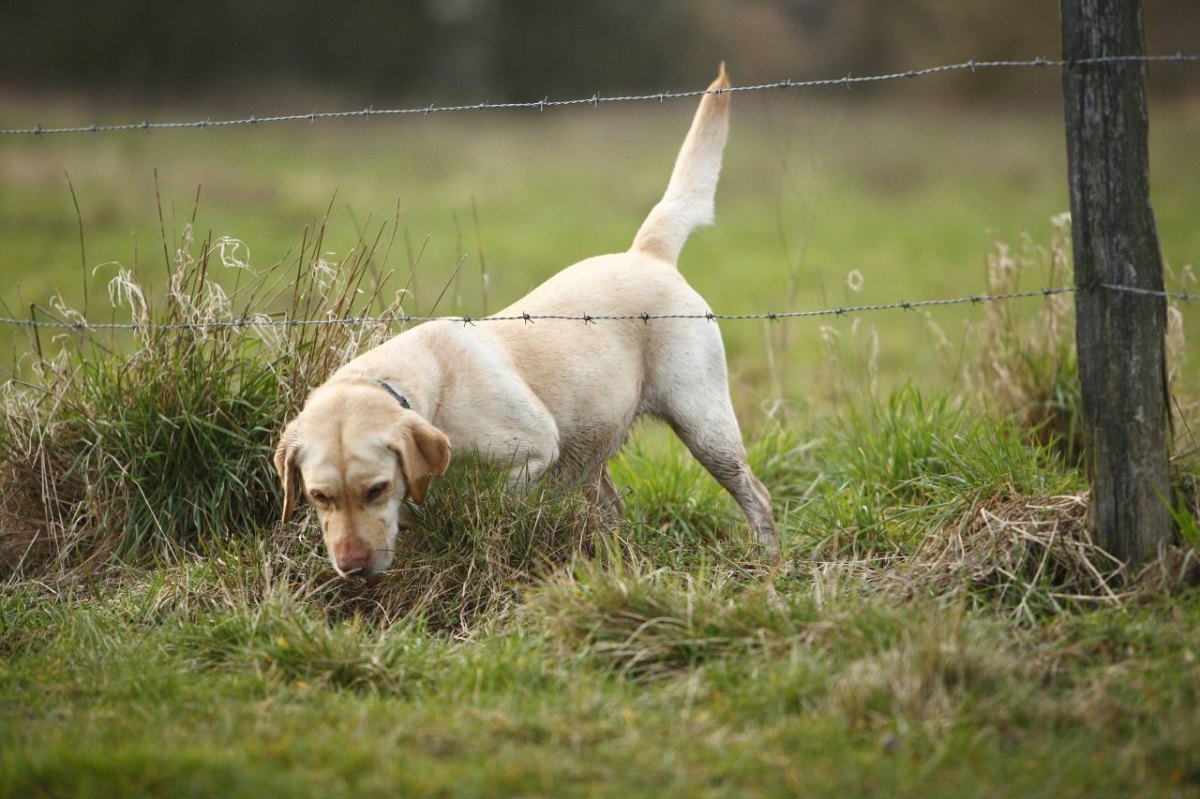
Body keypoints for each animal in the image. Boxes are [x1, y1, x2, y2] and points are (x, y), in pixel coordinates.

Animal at [273, 63, 777, 573]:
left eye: (376, 489)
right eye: (319, 496)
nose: (352, 567)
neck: (423, 389)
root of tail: (646, 253)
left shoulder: (534, 450)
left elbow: (499, 497)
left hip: (703, 423)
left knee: (756, 493)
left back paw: (766, 557)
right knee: (614, 508)